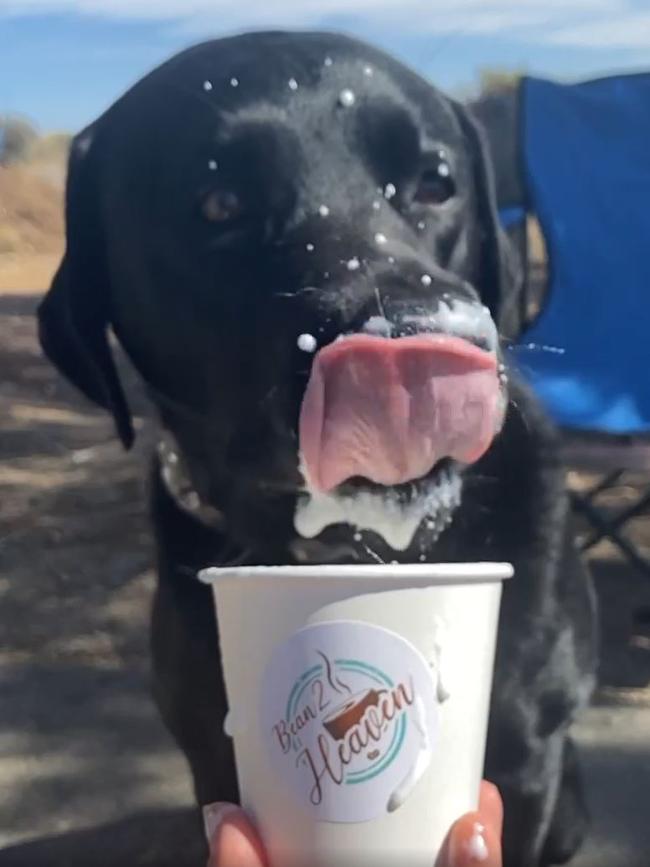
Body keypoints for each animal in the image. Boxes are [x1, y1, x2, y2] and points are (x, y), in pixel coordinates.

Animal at [38, 32, 596, 867]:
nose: (413, 338)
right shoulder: (211, 754)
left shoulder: (529, 762)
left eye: (436, 182)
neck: (352, 554)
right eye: (218, 203)